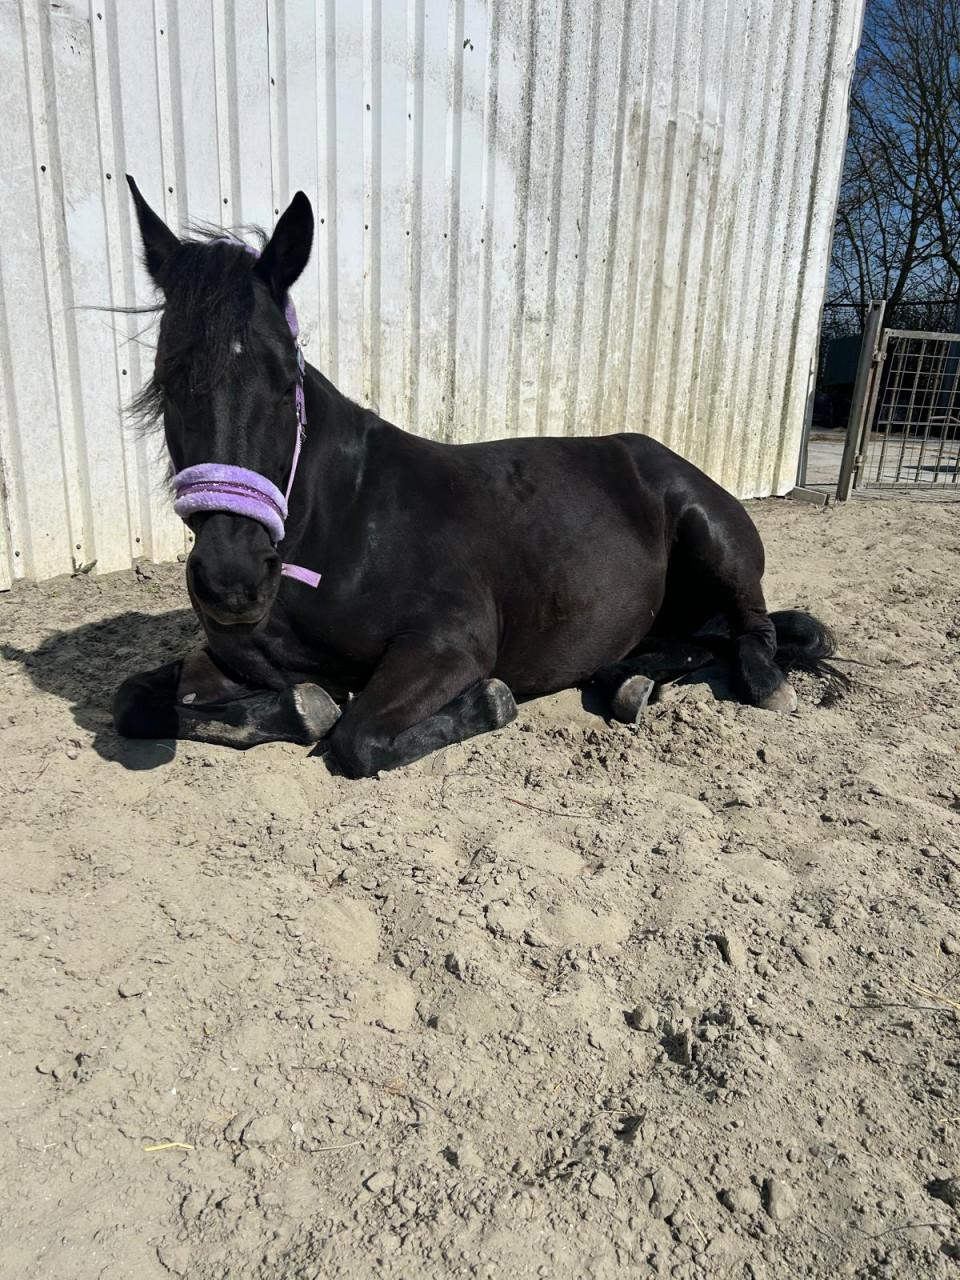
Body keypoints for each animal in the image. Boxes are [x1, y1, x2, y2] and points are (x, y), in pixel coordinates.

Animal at [114, 178, 841, 778]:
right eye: (165, 380)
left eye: (284, 374)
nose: (232, 581)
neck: (344, 523)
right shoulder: (229, 659)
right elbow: (138, 698)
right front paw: (300, 704)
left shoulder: (447, 644)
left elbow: (357, 737)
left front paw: (487, 701)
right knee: (696, 640)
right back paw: (628, 685)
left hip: (711, 536)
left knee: (754, 630)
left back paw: (765, 685)